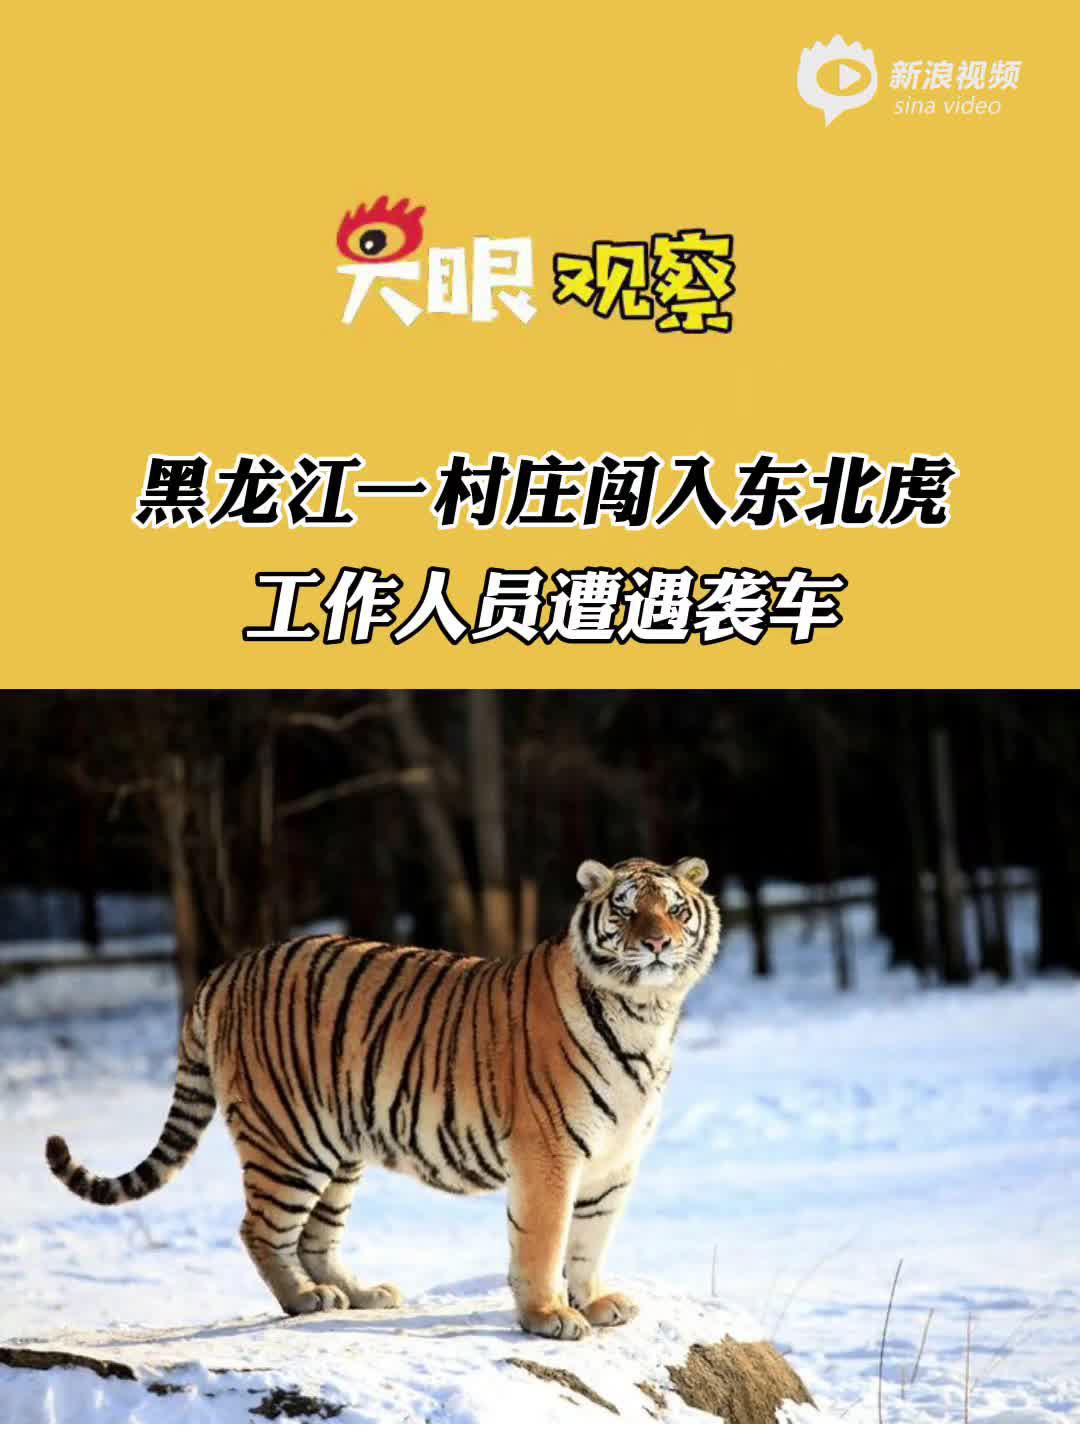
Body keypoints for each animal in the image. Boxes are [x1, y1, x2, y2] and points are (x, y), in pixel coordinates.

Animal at [45, 855, 721, 1341]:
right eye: (626, 911)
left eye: (674, 910)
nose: (658, 943)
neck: (647, 1014)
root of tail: (225, 971)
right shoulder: (549, 1153)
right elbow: (545, 1239)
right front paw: (547, 1317)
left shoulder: (615, 1159)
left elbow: (588, 1240)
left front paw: (598, 1302)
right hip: (288, 1142)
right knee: (261, 1228)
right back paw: (304, 1299)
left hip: (338, 1146)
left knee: (316, 1236)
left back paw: (363, 1294)